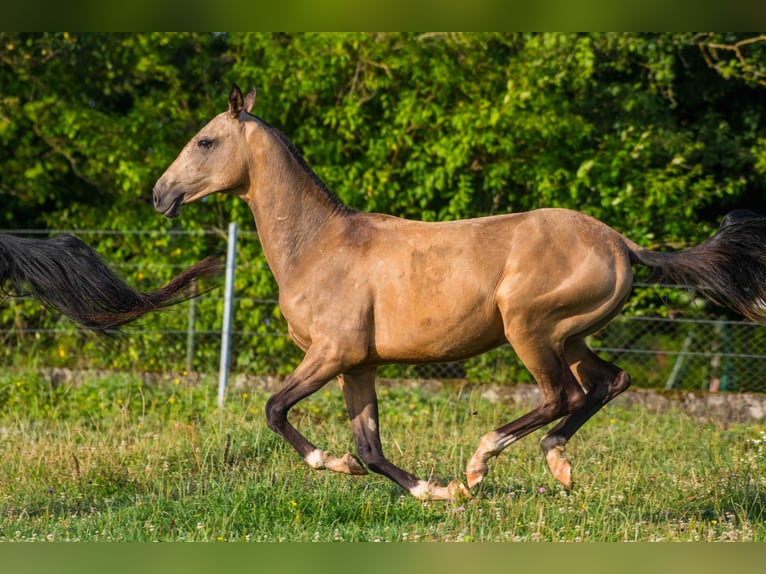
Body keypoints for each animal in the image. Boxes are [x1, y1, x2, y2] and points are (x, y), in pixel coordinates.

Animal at [153, 83, 766, 502]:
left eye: (204, 140)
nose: (160, 195)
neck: (320, 244)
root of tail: (623, 244)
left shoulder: (330, 353)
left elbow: (276, 409)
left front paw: (338, 464)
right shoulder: (358, 365)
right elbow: (370, 446)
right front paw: (435, 492)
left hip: (529, 329)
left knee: (562, 396)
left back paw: (482, 461)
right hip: (570, 337)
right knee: (609, 382)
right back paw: (556, 464)